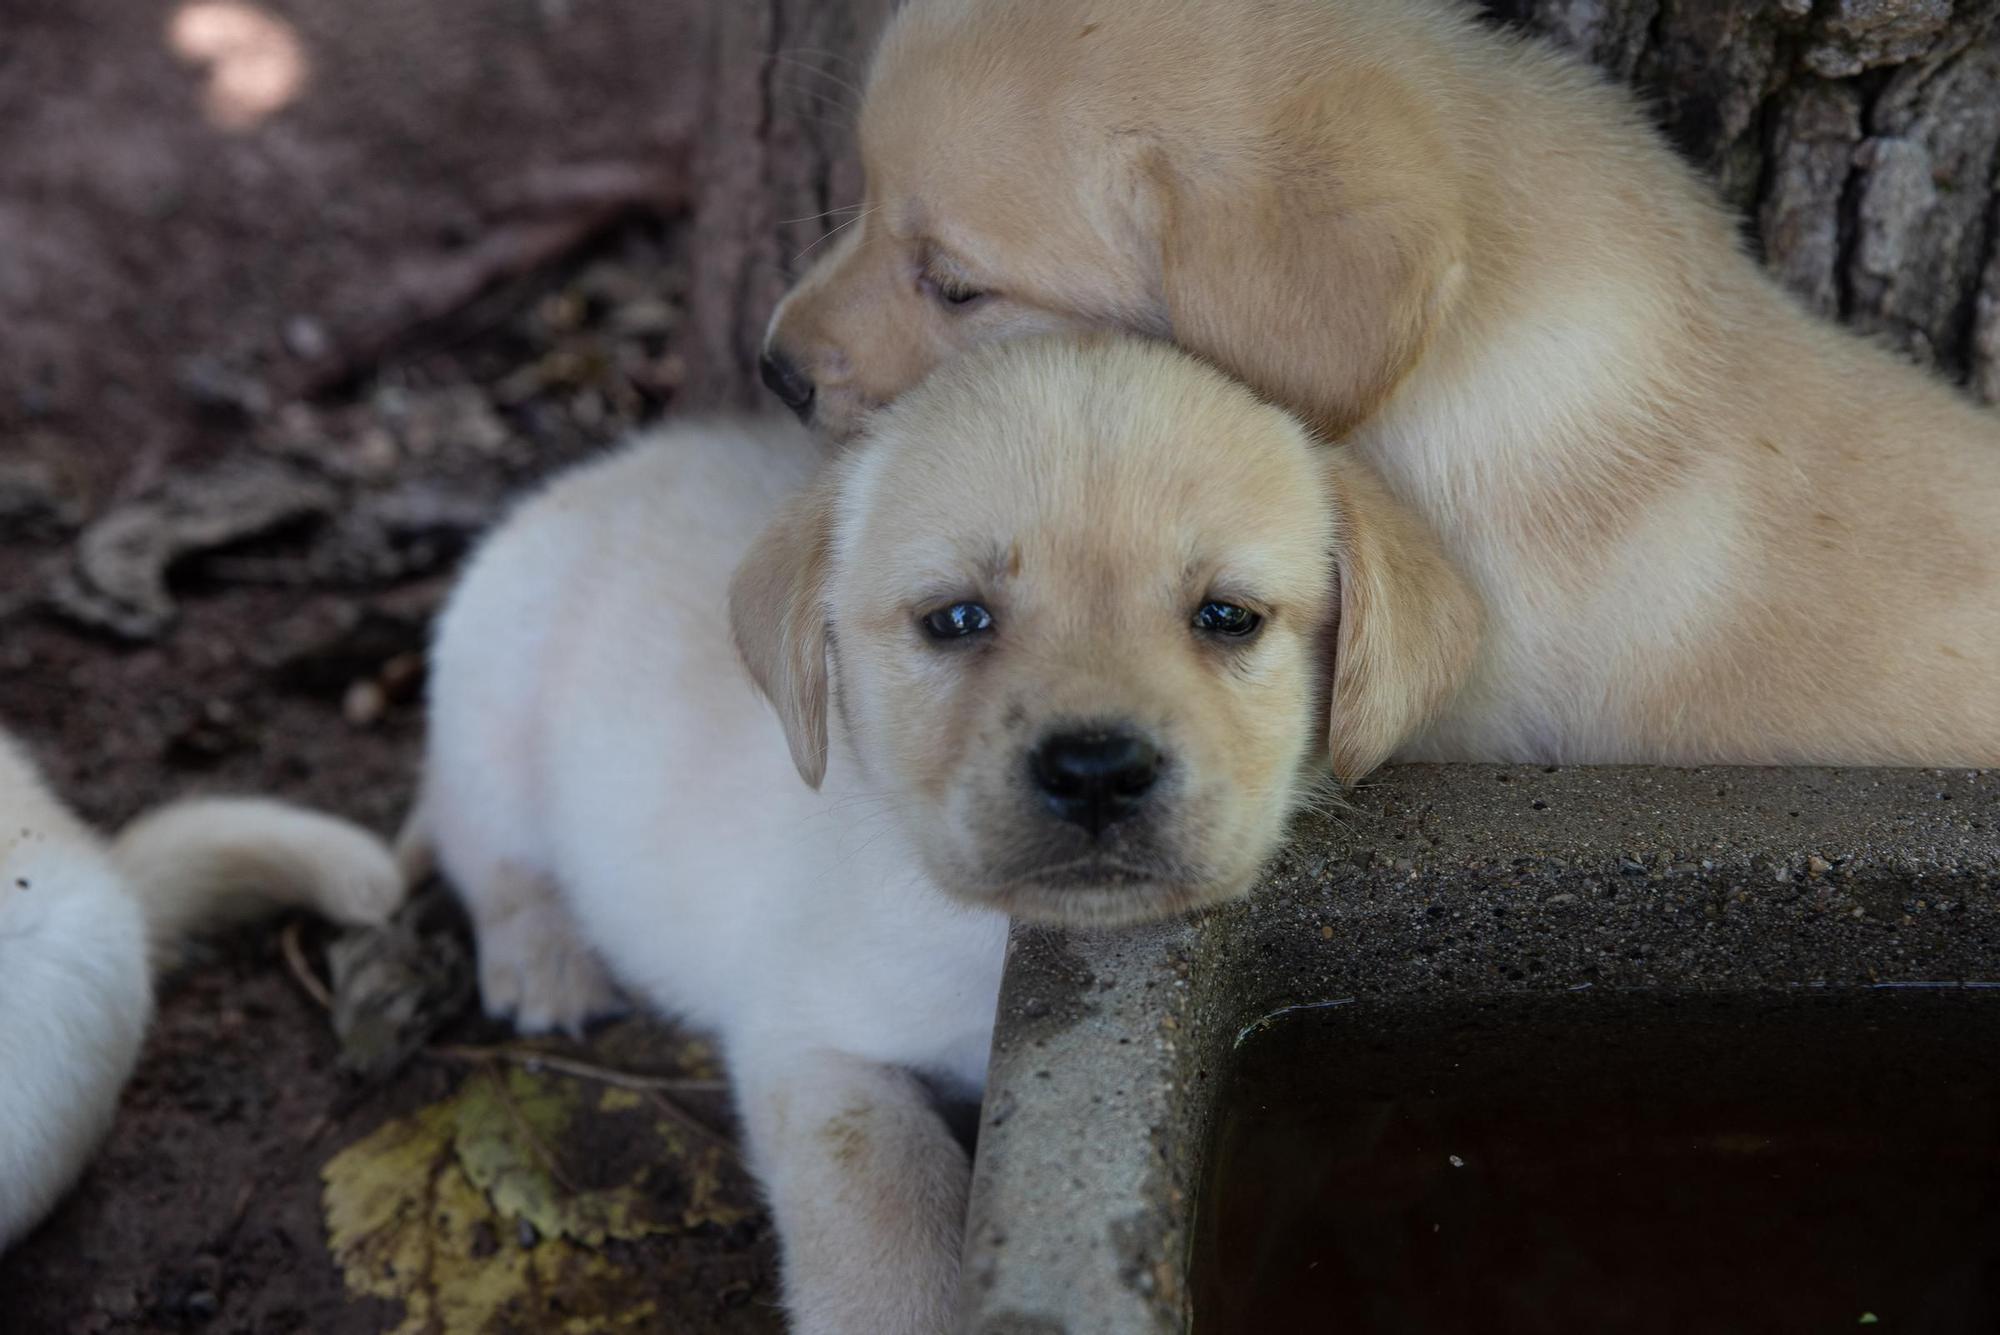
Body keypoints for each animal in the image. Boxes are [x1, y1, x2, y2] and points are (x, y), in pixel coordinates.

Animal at [398, 335, 1480, 1335]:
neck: (987, 934)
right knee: (481, 848)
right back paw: (542, 959)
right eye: (956, 619)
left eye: (1227, 616)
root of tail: (582, 484)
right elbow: (884, 1213)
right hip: (489, 703)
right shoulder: (811, 1045)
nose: (1095, 770)